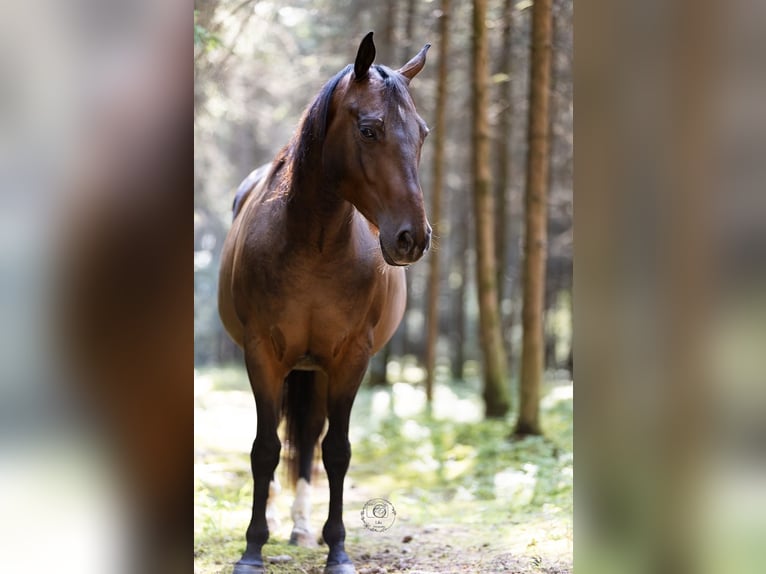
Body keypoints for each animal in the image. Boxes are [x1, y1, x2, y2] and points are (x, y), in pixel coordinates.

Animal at [217, 32, 431, 574]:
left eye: (422, 133)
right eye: (369, 129)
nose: (413, 239)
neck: (314, 244)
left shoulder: (350, 358)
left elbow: (335, 451)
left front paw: (337, 550)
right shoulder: (263, 355)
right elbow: (265, 449)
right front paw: (252, 548)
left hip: (314, 369)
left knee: (311, 437)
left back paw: (300, 527)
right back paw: (278, 523)